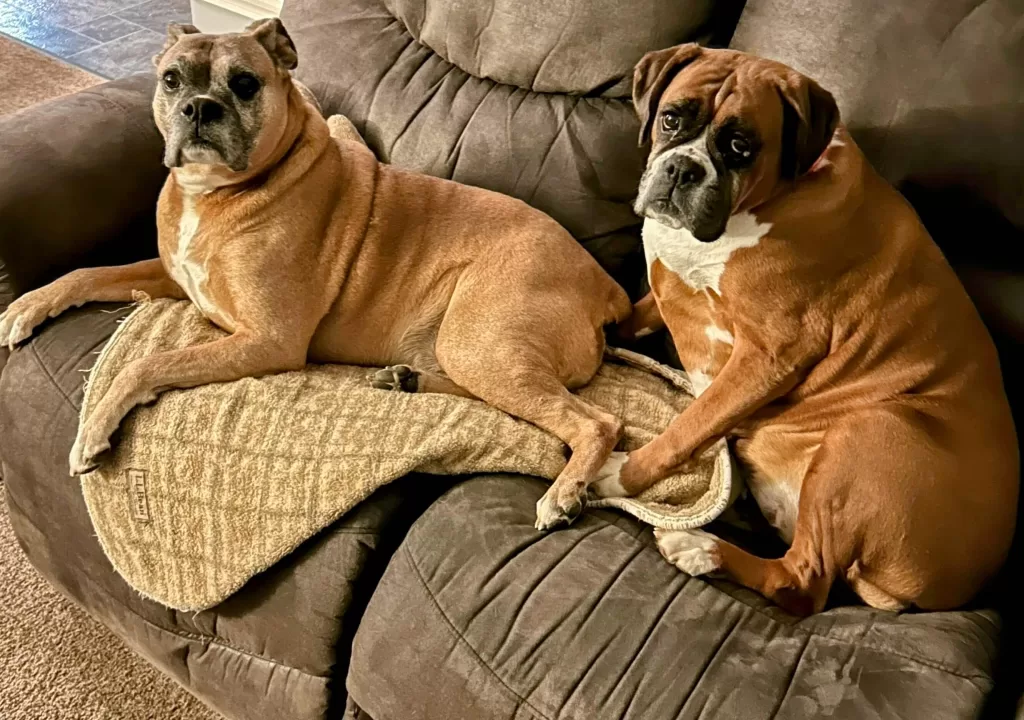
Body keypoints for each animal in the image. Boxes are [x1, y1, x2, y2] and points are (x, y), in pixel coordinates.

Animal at [0, 16, 630, 528]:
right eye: (172, 80)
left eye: (245, 83)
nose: (199, 107)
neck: (221, 194)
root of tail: (606, 285)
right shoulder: (175, 279)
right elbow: (86, 274)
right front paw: (26, 306)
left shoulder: (265, 340)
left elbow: (148, 363)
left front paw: (94, 430)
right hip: (470, 351)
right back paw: (407, 380)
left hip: (480, 341)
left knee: (594, 423)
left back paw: (563, 495)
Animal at [598, 43, 1019, 614]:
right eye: (670, 119)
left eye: (740, 146)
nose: (684, 169)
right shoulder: (671, 293)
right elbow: (633, 316)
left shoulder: (767, 357)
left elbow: (690, 426)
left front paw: (616, 475)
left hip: (870, 429)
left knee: (802, 583)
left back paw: (700, 547)